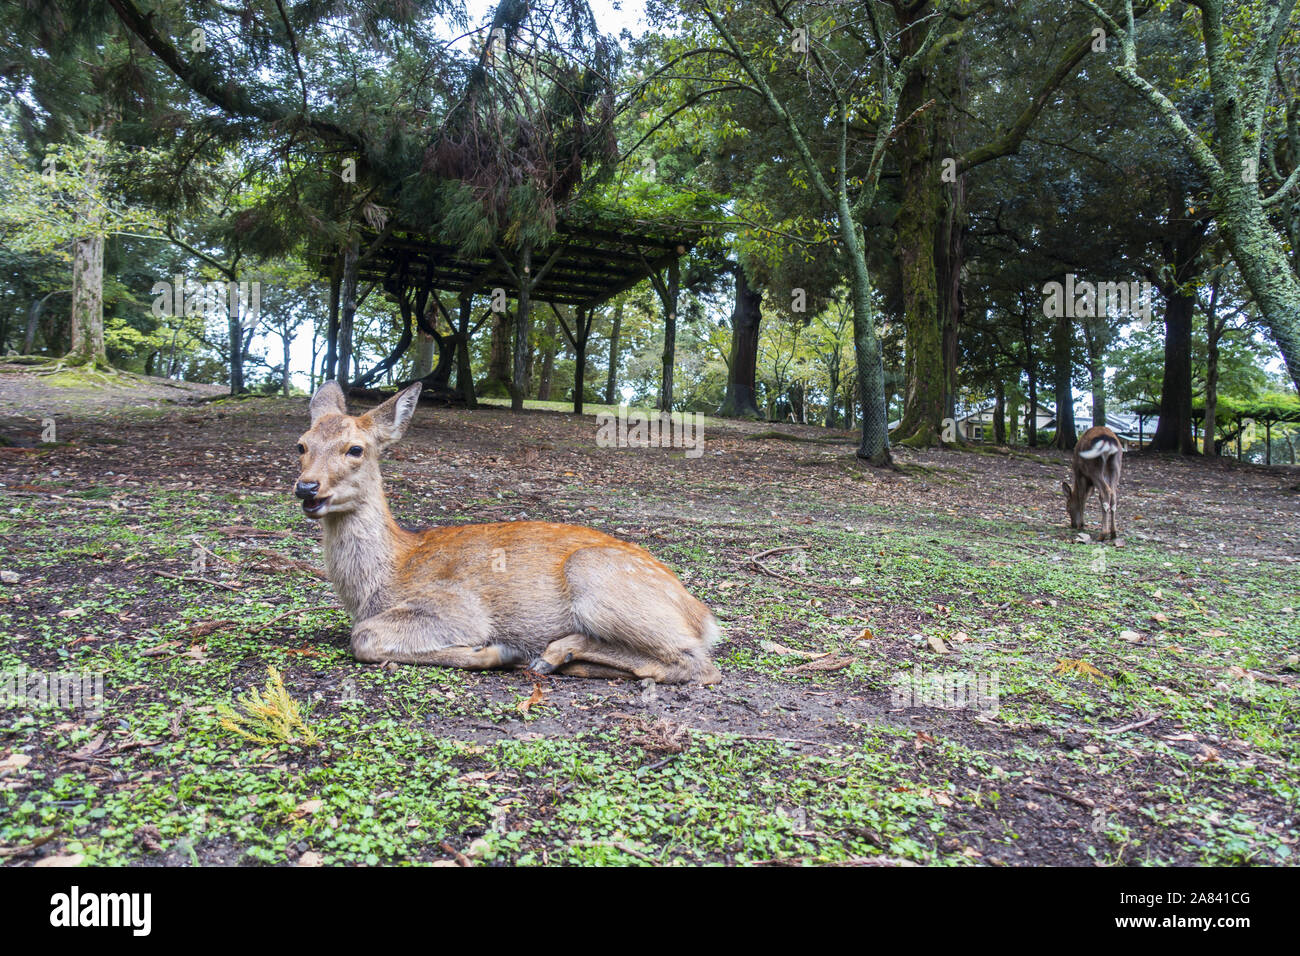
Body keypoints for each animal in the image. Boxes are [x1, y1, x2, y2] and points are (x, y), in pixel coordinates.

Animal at [292, 377, 722, 686]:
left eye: (356, 449)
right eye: (302, 445)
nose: (307, 488)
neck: (386, 576)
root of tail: (704, 617)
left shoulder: (459, 608)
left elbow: (362, 637)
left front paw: (495, 653)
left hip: (597, 580)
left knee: (699, 664)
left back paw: (549, 654)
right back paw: (560, 659)